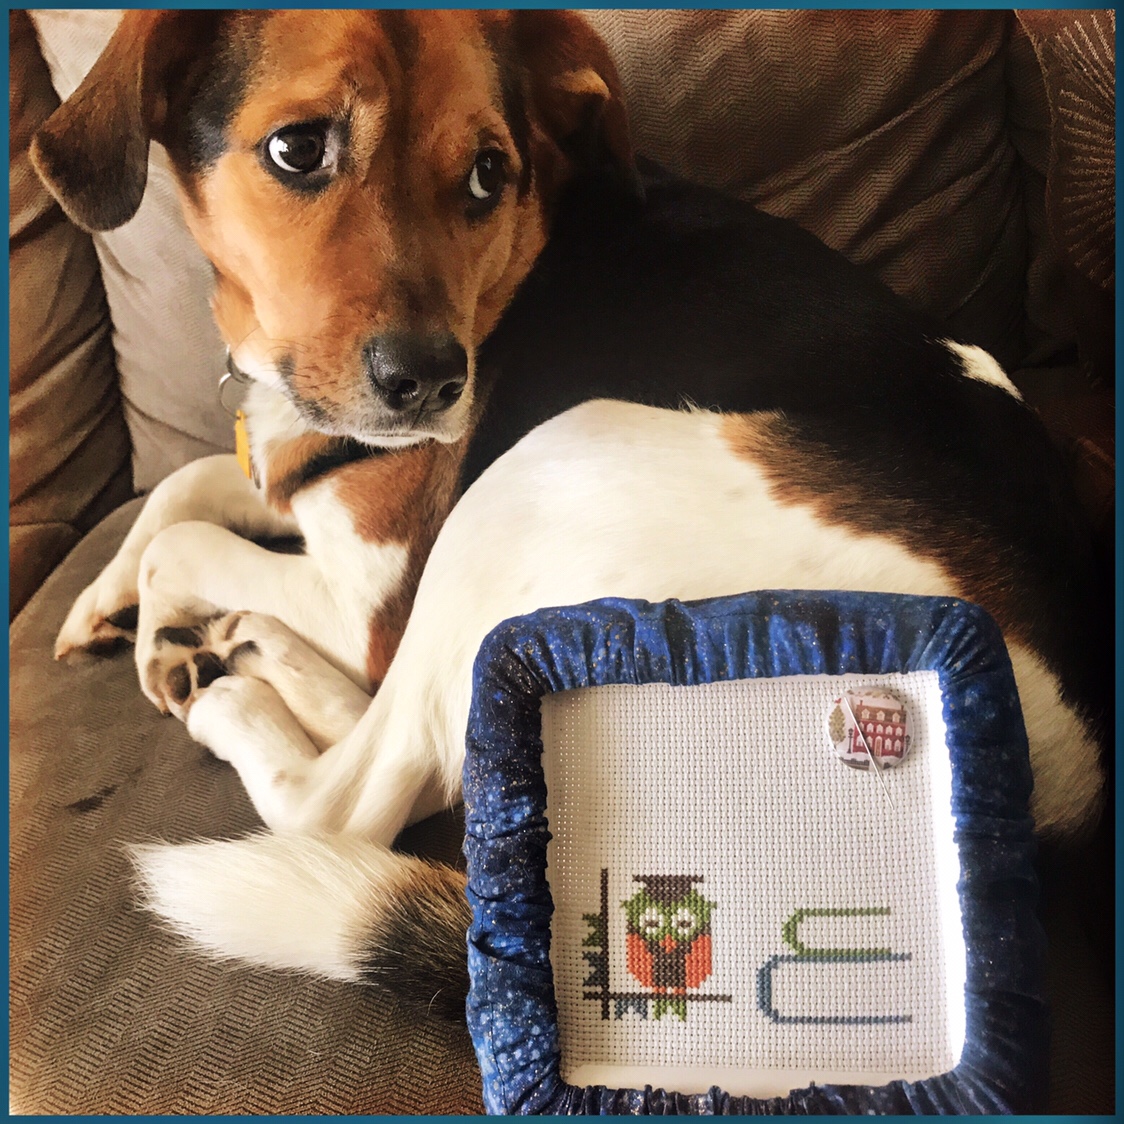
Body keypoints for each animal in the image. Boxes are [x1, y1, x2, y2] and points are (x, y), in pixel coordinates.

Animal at [33, 10, 1109, 1018]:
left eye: (486, 175)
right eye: (299, 149)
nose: (436, 385)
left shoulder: (370, 598)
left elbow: (188, 535)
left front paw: (157, 623)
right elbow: (193, 484)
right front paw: (104, 601)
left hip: (541, 467)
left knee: (358, 788)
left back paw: (237, 693)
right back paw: (254, 648)